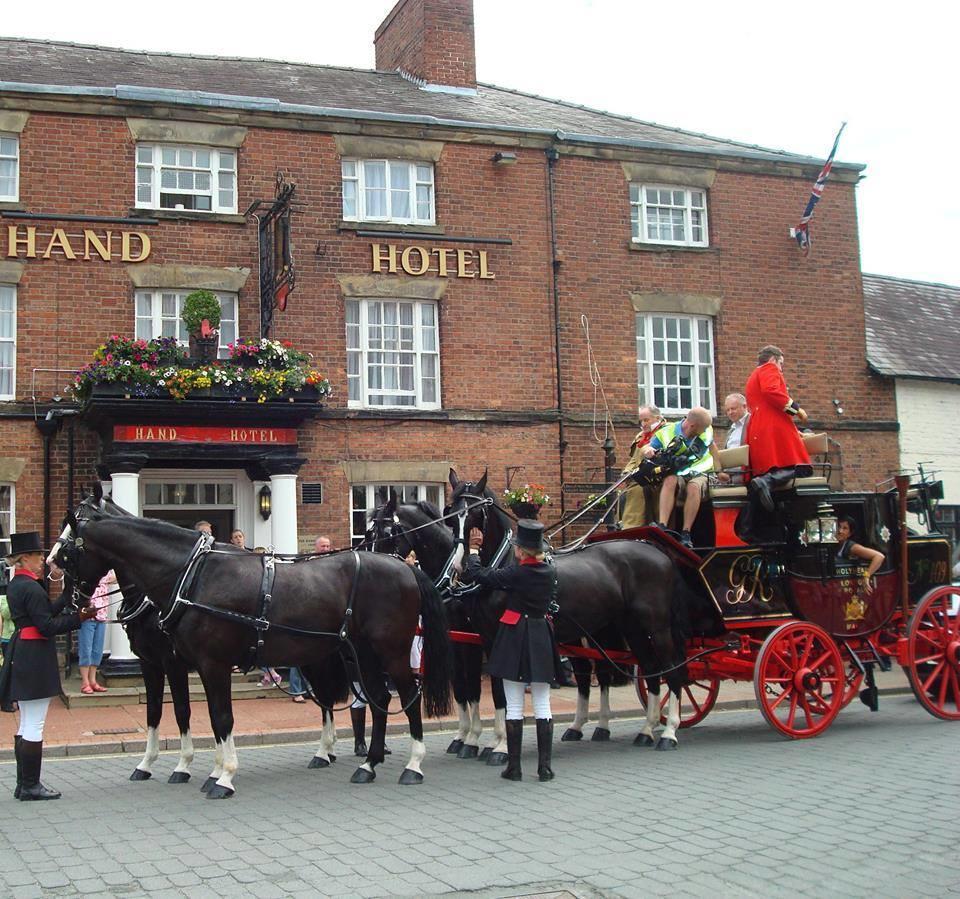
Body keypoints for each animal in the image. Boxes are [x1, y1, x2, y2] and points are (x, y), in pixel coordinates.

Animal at [56, 502, 454, 800]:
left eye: (67, 555)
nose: (69, 604)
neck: (191, 576)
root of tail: (405, 568)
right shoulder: (167, 664)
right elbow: (173, 714)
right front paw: (194, 768)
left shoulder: (204, 664)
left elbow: (216, 718)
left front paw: (221, 776)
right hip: (359, 654)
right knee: (376, 700)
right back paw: (366, 764)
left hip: (391, 652)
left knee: (407, 697)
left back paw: (412, 765)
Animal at [450, 474, 720, 748]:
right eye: (451, 514)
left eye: (475, 514)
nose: (459, 565)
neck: (502, 565)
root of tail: (656, 549)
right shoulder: (488, 637)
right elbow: (497, 691)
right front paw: (492, 742)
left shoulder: (505, 637)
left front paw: (500, 745)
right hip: (632, 628)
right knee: (652, 670)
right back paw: (645, 729)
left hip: (658, 626)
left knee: (672, 670)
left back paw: (669, 732)